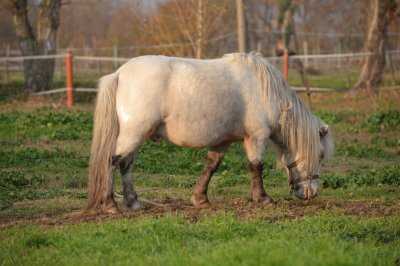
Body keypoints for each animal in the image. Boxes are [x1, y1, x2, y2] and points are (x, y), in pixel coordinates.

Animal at [85, 52, 334, 214]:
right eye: (321, 155)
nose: (311, 193)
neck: (266, 90)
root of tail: (119, 74)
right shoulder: (256, 137)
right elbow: (256, 166)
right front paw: (262, 198)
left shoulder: (223, 141)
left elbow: (211, 165)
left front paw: (200, 199)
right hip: (133, 135)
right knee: (112, 161)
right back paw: (110, 204)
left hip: (135, 137)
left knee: (126, 165)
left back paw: (134, 203)